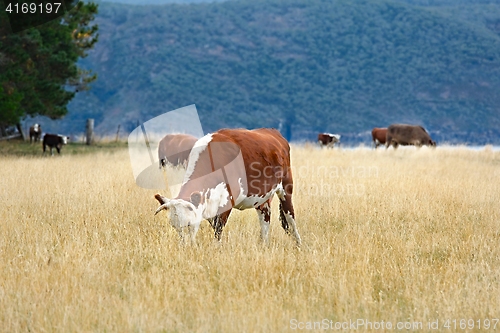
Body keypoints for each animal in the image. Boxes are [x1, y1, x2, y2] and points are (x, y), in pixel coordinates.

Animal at [153, 128, 300, 245]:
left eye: (189, 224)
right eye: (174, 226)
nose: (185, 245)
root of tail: (272, 132)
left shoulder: (227, 202)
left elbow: (218, 229)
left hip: (286, 187)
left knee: (290, 216)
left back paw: (298, 243)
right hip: (262, 197)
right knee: (265, 218)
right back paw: (263, 244)